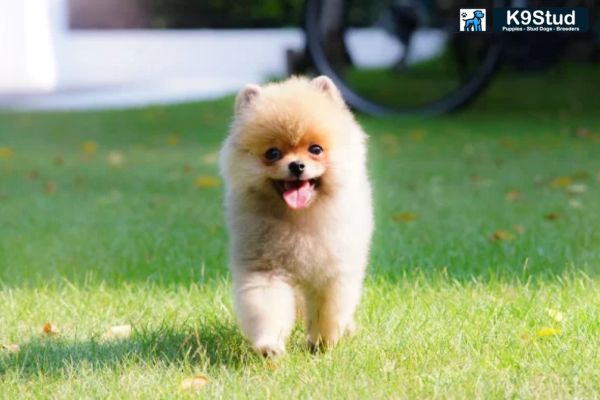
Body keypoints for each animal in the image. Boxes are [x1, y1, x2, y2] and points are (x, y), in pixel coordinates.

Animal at [218, 75, 372, 356]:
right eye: (273, 153)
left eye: (315, 149)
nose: (297, 165)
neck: (298, 221)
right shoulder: (266, 269)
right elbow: (266, 307)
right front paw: (269, 345)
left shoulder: (331, 272)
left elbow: (327, 311)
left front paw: (322, 343)